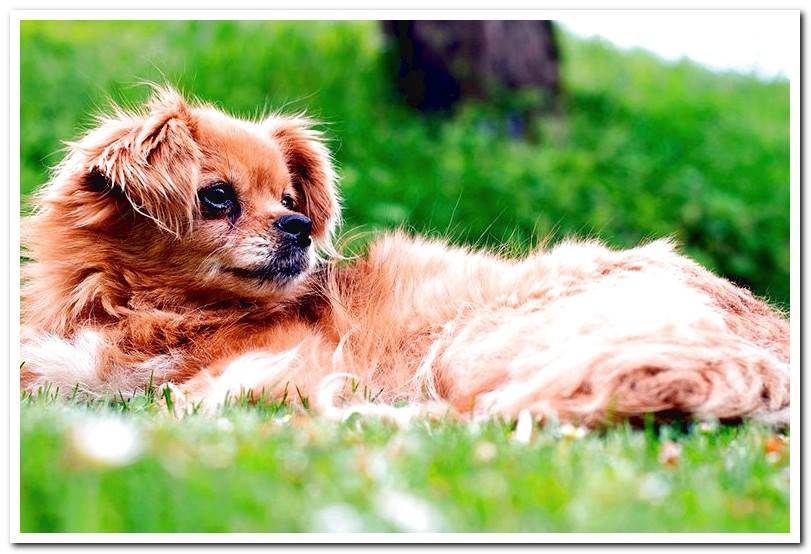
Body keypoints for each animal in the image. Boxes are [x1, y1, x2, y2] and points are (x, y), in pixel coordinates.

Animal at [19, 86, 788, 424]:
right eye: (216, 198)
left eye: (288, 196)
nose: (299, 225)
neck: (147, 313)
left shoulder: (293, 362)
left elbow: (190, 390)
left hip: (473, 342)